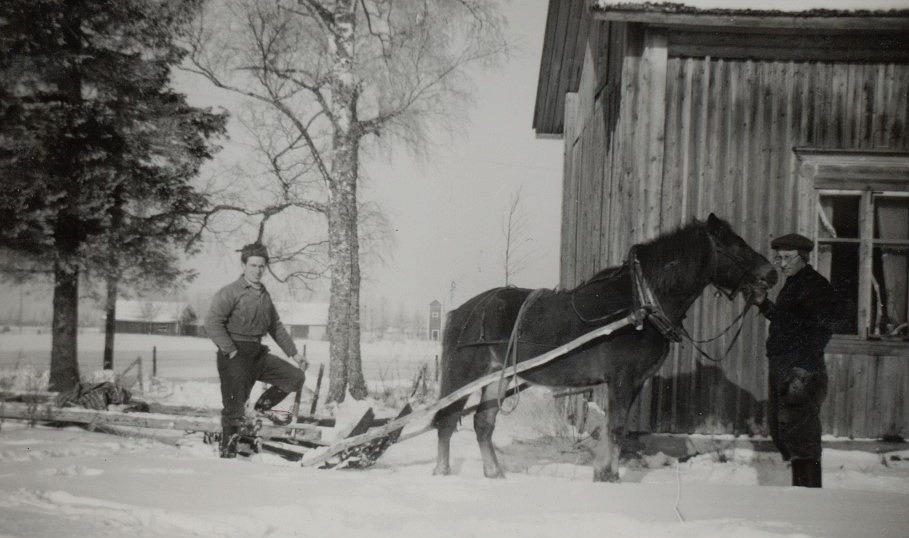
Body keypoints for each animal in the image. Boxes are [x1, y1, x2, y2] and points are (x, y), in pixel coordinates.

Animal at [430, 211, 776, 480]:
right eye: (733, 244)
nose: (770, 274)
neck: (640, 304)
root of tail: (460, 311)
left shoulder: (635, 381)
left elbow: (616, 427)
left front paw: (604, 471)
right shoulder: (621, 379)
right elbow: (616, 427)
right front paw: (608, 476)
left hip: (496, 377)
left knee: (482, 423)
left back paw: (494, 474)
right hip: (464, 375)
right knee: (446, 420)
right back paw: (442, 473)